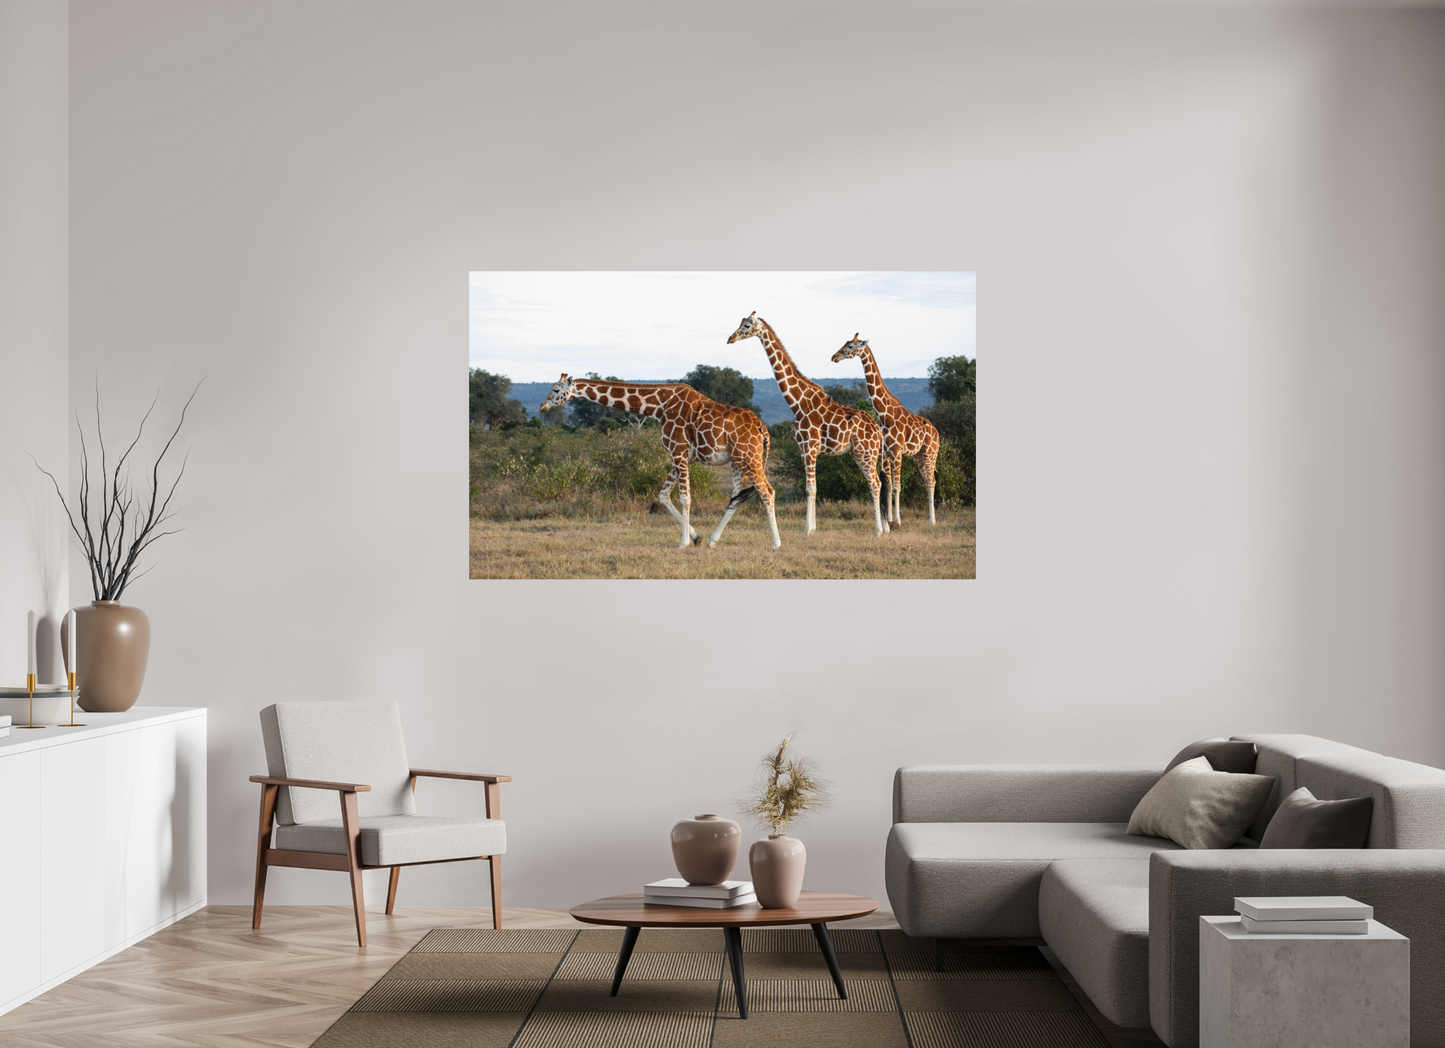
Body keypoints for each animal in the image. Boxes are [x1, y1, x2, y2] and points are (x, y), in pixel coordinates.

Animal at [540, 375, 781, 549]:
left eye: (556, 390)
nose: (543, 406)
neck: (659, 406)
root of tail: (762, 428)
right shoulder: (678, 455)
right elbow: (663, 495)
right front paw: (696, 538)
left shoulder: (679, 451)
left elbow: (685, 497)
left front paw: (683, 543)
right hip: (737, 460)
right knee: (737, 496)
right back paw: (713, 541)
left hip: (749, 456)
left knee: (767, 491)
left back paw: (776, 543)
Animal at [727, 313, 885, 537]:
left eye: (747, 325)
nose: (730, 338)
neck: (797, 402)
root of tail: (878, 431)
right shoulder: (803, 449)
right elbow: (812, 487)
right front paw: (813, 527)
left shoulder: (809, 446)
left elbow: (811, 488)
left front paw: (807, 529)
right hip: (859, 453)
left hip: (866, 452)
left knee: (875, 483)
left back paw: (878, 531)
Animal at [833, 334, 941, 526]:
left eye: (851, 346)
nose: (834, 357)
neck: (883, 414)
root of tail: (937, 432)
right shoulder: (885, 452)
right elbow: (888, 485)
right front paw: (889, 520)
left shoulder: (896, 452)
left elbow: (897, 486)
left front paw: (897, 521)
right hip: (918, 456)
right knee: (927, 480)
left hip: (930, 452)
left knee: (932, 481)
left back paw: (932, 520)